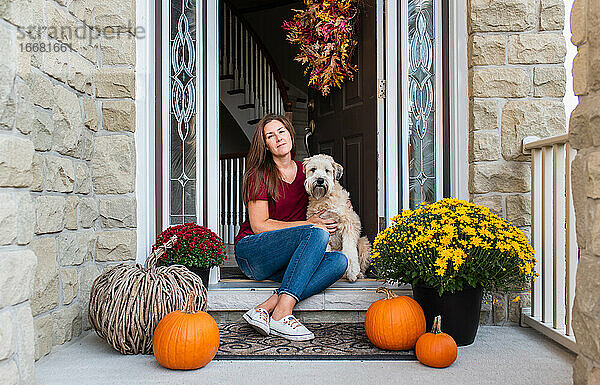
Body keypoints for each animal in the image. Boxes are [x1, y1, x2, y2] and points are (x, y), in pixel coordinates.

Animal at [304, 154, 370, 282]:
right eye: (313, 169)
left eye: (327, 170)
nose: (320, 180)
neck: (324, 199)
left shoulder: (348, 224)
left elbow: (350, 250)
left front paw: (352, 272)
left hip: (364, 244)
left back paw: (358, 274)